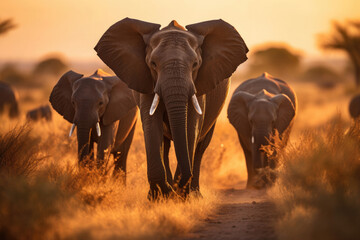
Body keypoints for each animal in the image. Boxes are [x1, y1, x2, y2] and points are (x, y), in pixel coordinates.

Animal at [94, 17, 249, 199]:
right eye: (153, 64)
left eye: (195, 64)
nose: (175, 189)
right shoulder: (146, 82)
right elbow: (151, 126)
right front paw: (160, 197)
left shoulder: (199, 85)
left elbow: (191, 127)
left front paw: (178, 196)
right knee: (166, 145)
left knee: (200, 147)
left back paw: (193, 194)